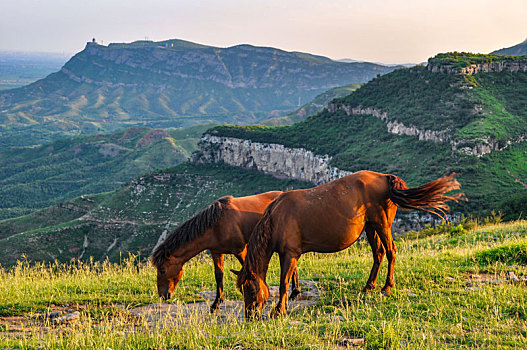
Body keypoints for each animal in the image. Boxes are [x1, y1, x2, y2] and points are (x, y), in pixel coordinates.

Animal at [153, 191, 302, 312]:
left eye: (163, 270)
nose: (163, 296)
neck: (215, 225)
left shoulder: (240, 250)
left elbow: (247, 271)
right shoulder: (216, 252)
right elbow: (219, 275)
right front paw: (216, 303)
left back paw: (295, 292)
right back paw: (294, 292)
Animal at [235, 171, 466, 318]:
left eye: (251, 290)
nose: (250, 317)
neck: (277, 217)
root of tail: (385, 178)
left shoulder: (289, 254)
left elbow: (284, 282)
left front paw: (279, 311)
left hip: (382, 225)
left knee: (390, 251)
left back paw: (387, 287)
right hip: (371, 227)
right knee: (379, 254)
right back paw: (369, 286)